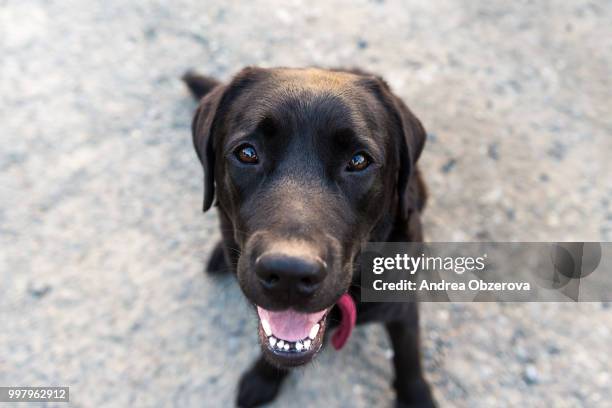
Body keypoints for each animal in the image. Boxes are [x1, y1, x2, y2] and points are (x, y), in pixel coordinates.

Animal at [182, 67, 436, 408]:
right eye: (247, 153)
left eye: (359, 161)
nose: (289, 273)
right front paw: (263, 378)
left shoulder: (402, 306)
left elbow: (408, 357)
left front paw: (417, 396)